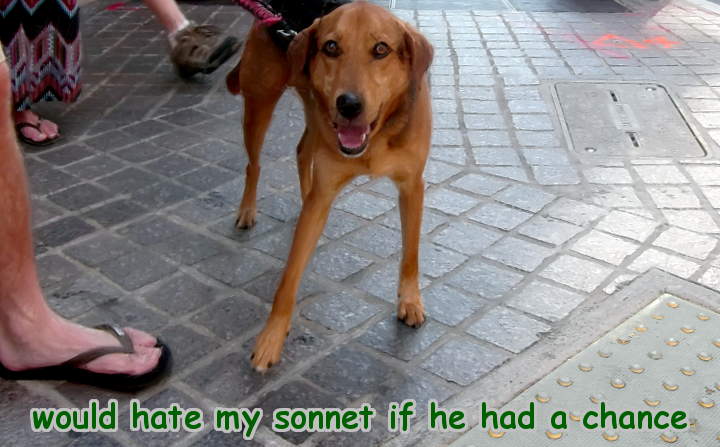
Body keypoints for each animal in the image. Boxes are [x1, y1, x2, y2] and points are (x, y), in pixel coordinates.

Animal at [226, 1, 433, 372]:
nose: (348, 104)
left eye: (381, 49)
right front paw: (271, 337)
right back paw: (248, 209)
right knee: (255, 164)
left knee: (300, 151)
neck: (374, 139)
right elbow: (288, 279)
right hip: (260, 105)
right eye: (331, 47)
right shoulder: (325, 189)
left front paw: (410, 301)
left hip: (314, 116)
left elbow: (410, 254)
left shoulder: (413, 186)